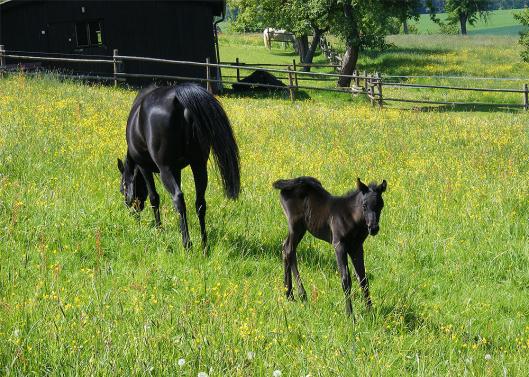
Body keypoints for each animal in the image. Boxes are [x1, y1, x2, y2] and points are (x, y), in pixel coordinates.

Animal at [117, 83, 239, 248]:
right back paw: (204, 244)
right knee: (200, 203)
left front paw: (159, 229)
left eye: (122, 188)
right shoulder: (177, 170)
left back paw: (187, 243)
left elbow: (154, 198)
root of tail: (179, 99)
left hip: (166, 169)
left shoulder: (145, 167)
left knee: (178, 199)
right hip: (198, 165)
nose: (133, 213)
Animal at [274, 176, 386, 314]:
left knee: (285, 248)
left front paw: (370, 312)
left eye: (381, 205)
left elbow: (363, 278)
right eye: (364, 205)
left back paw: (289, 294)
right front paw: (350, 314)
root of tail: (288, 184)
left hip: (300, 228)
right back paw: (302, 295)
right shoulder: (339, 245)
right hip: (296, 225)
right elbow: (346, 279)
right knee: (289, 250)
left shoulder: (357, 247)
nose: (373, 228)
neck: (351, 217)